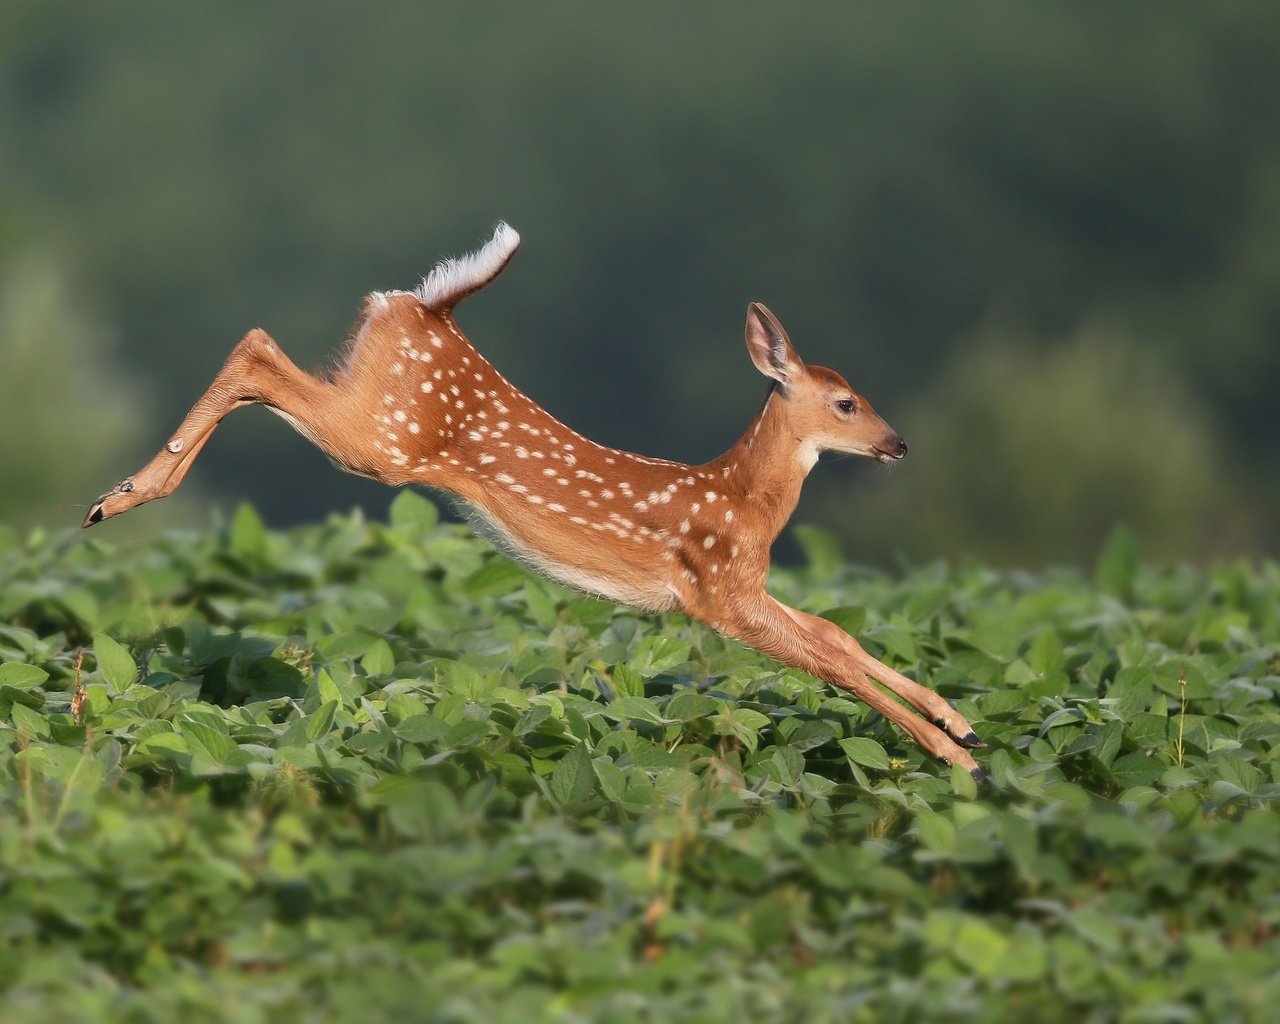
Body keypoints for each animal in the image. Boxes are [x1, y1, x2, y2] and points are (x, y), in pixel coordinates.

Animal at [85, 224, 983, 778]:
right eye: (845, 402)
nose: (900, 444)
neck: (746, 504)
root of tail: (430, 306)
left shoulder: (744, 586)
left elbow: (836, 633)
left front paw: (959, 721)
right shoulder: (718, 592)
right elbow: (830, 661)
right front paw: (959, 759)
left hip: (371, 404)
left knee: (262, 349)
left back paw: (119, 494)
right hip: (383, 441)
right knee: (258, 348)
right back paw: (121, 497)